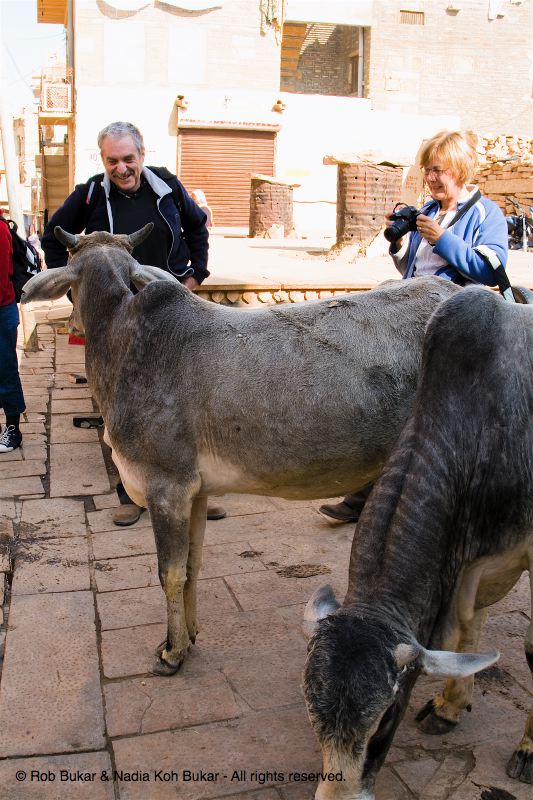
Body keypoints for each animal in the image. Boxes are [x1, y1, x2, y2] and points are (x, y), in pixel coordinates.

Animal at [22, 225, 460, 677]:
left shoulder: (166, 486)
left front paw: (172, 652)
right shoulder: (195, 492)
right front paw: (190, 636)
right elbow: (193, 565)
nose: (72, 326)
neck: (123, 338)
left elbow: (169, 573)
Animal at [303, 286, 533, 799]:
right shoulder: (470, 566)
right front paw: (450, 707)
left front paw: (529, 750)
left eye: (385, 720)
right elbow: (469, 629)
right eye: (313, 718)